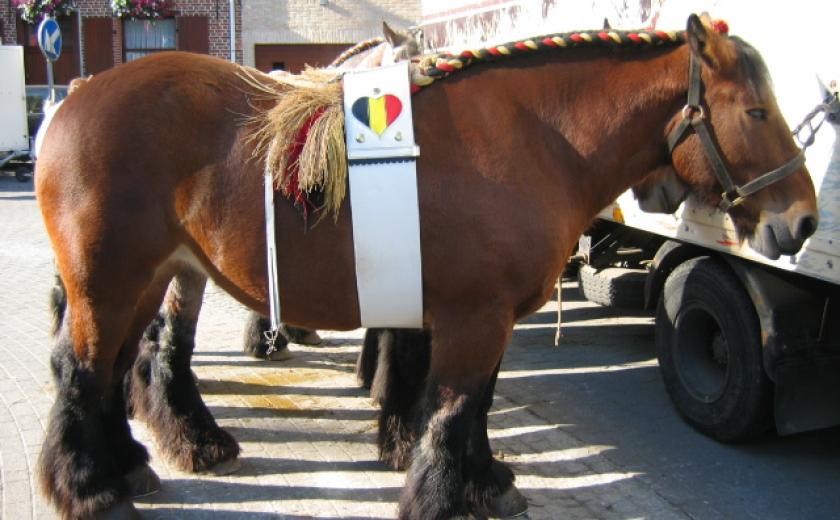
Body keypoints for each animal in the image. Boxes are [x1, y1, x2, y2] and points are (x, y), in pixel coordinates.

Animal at [35, 15, 817, 519]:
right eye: (755, 111)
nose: (804, 220)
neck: (535, 137)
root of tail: (74, 100)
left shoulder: (479, 317)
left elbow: (469, 405)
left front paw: (482, 481)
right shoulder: (473, 318)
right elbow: (455, 405)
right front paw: (445, 493)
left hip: (150, 277)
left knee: (116, 369)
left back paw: (131, 465)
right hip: (108, 282)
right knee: (83, 370)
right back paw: (90, 487)